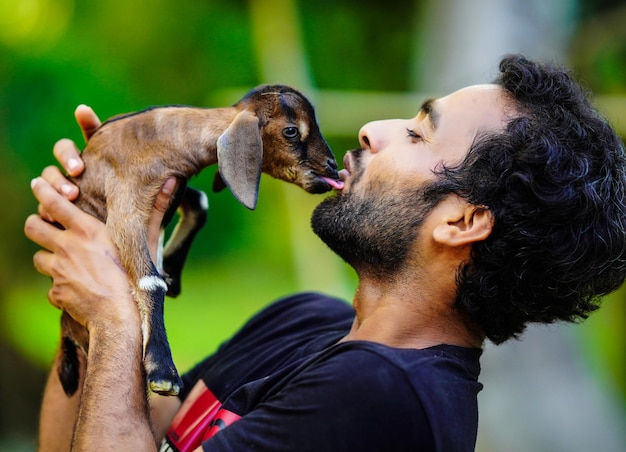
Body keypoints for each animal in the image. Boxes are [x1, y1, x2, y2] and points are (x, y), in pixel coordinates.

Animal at [57, 85, 342, 396]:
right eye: (291, 131)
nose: (332, 166)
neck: (162, 140)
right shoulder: (126, 204)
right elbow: (149, 280)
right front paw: (163, 372)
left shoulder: (175, 186)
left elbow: (200, 202)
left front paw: (171, 270)